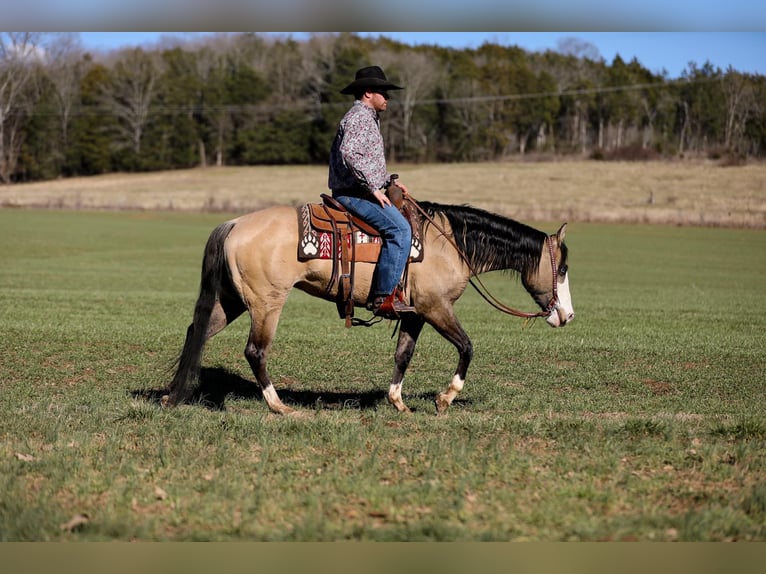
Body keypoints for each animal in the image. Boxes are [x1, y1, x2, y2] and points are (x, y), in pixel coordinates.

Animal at [165, 200, 572, 416]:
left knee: (196, 332)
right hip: (267, 303)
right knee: (255, 351)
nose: (566, 315)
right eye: (563, 267)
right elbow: (467, 347)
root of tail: (233, 223)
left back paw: (173, 395)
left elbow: (403, 355)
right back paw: (279, 406)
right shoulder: (436, 307)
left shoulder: (415, 314)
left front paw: (398, 403)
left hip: (231, 300)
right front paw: (444, 399)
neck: (450, 244)